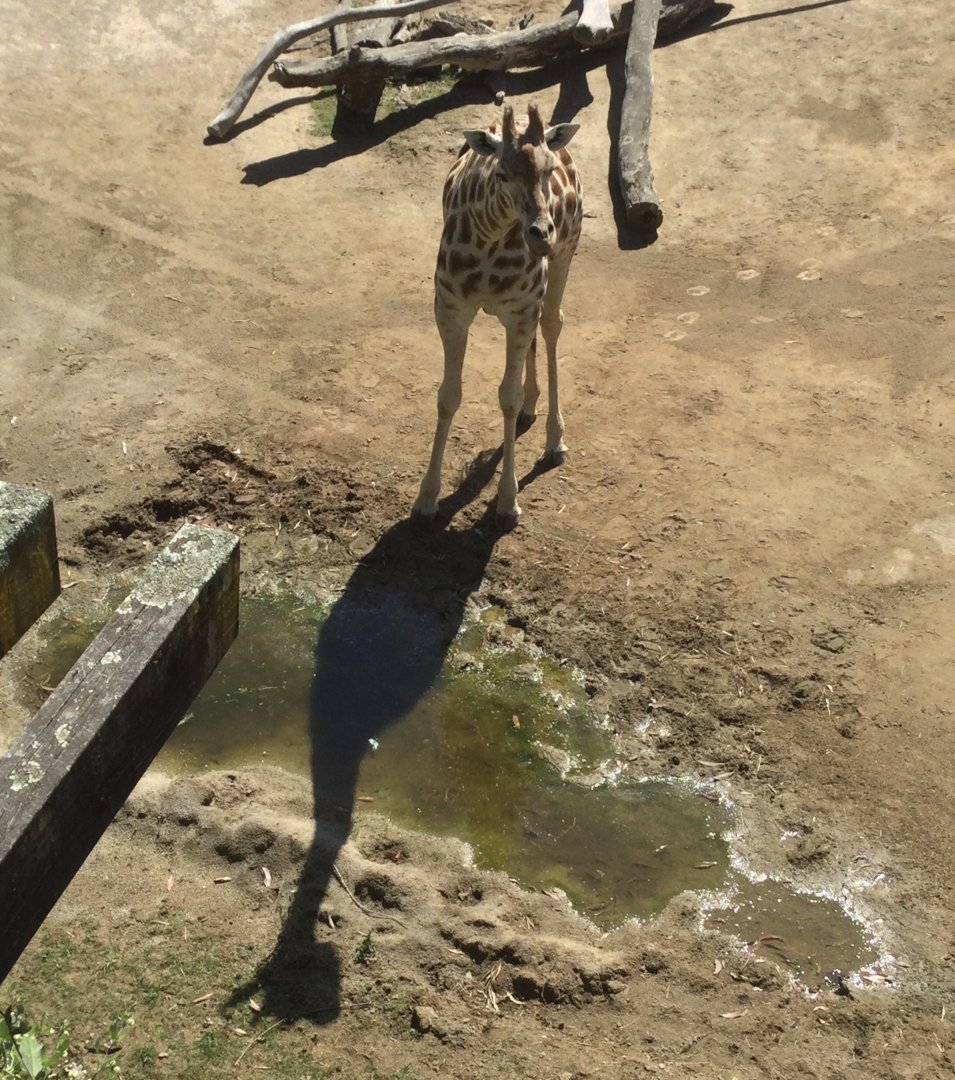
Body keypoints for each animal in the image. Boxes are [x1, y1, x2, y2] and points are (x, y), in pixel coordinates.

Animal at [412, 103, 583, 527]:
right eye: (503, 174)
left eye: (547, 171)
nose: (542, 234)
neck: (489, 236)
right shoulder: (451, 309)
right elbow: (448, 395)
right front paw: (426, 498)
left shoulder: (519, 310)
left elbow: (507, 396)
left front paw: (508, 502)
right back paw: (532, 408)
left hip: (565, 256)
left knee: (552, 325)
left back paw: (555, 440)